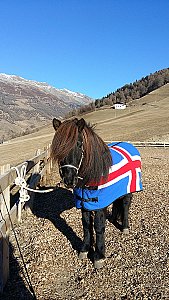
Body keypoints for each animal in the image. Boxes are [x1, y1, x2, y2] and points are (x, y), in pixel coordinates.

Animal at [50, 118, 143, 270]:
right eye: (58, 148)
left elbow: (98, 227)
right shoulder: (84, 204)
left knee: (125, 205)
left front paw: (99, 256)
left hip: (128, 191)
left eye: (79, 144)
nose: (69, 180)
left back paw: (125, 227)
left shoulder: (98, 204)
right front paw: (85, 249)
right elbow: (86, 225)